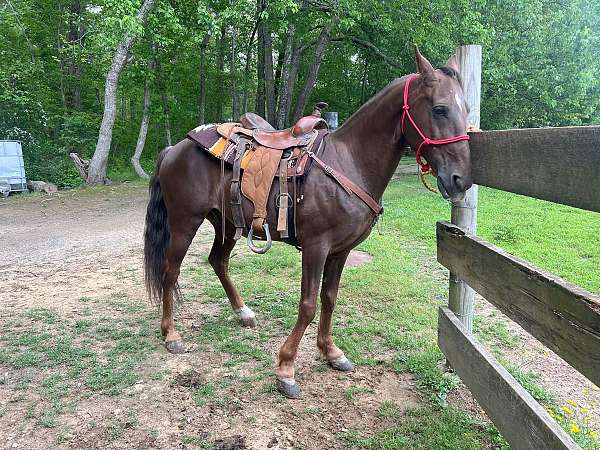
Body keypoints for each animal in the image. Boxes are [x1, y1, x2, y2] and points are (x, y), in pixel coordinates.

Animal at [143, 48, 472, 398]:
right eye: (439, 109)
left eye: (466, 109)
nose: (460, 179)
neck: (349, 163)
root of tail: (175, 147)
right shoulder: (316, 247)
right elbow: (309, 304)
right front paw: (286, 368)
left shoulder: (340, 252)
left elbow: (329, 299)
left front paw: (331, 352)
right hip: (184, 223)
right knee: (170, 271)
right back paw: (171, 333)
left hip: (227, 223)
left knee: (217, 261)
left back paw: (242, 312)